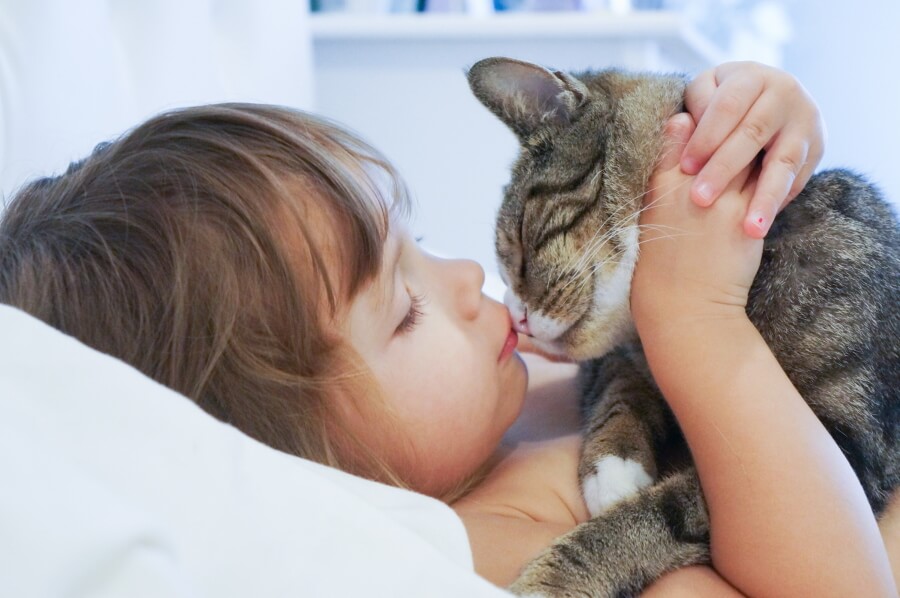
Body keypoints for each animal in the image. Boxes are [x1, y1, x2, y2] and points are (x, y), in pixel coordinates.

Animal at [468, 57, 896, 598]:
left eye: (521, 241)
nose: (515, 315)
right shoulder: (615, 361)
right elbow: (618, 391)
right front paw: (613, 468)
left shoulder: (851, 448)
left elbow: (659, 516)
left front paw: (553, 579)